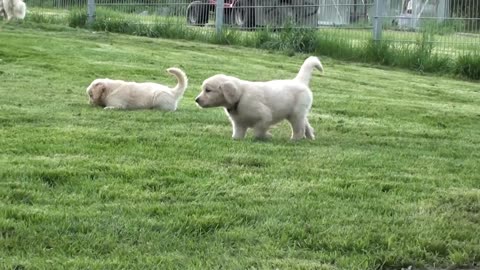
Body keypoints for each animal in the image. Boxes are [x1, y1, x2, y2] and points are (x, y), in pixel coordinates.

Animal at [194, 56, 322, 141]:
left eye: (208, 90)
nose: (196, 100)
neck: (240, 97)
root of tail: (299, 81)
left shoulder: (265, 117)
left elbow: (258, 131)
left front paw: (266, 136)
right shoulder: (238, 124)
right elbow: (237, 135)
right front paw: (237, 139)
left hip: (295, 114)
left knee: (299, 128)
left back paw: (295, 139)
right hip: (298, 113)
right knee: (306, 124)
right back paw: (310, 136)